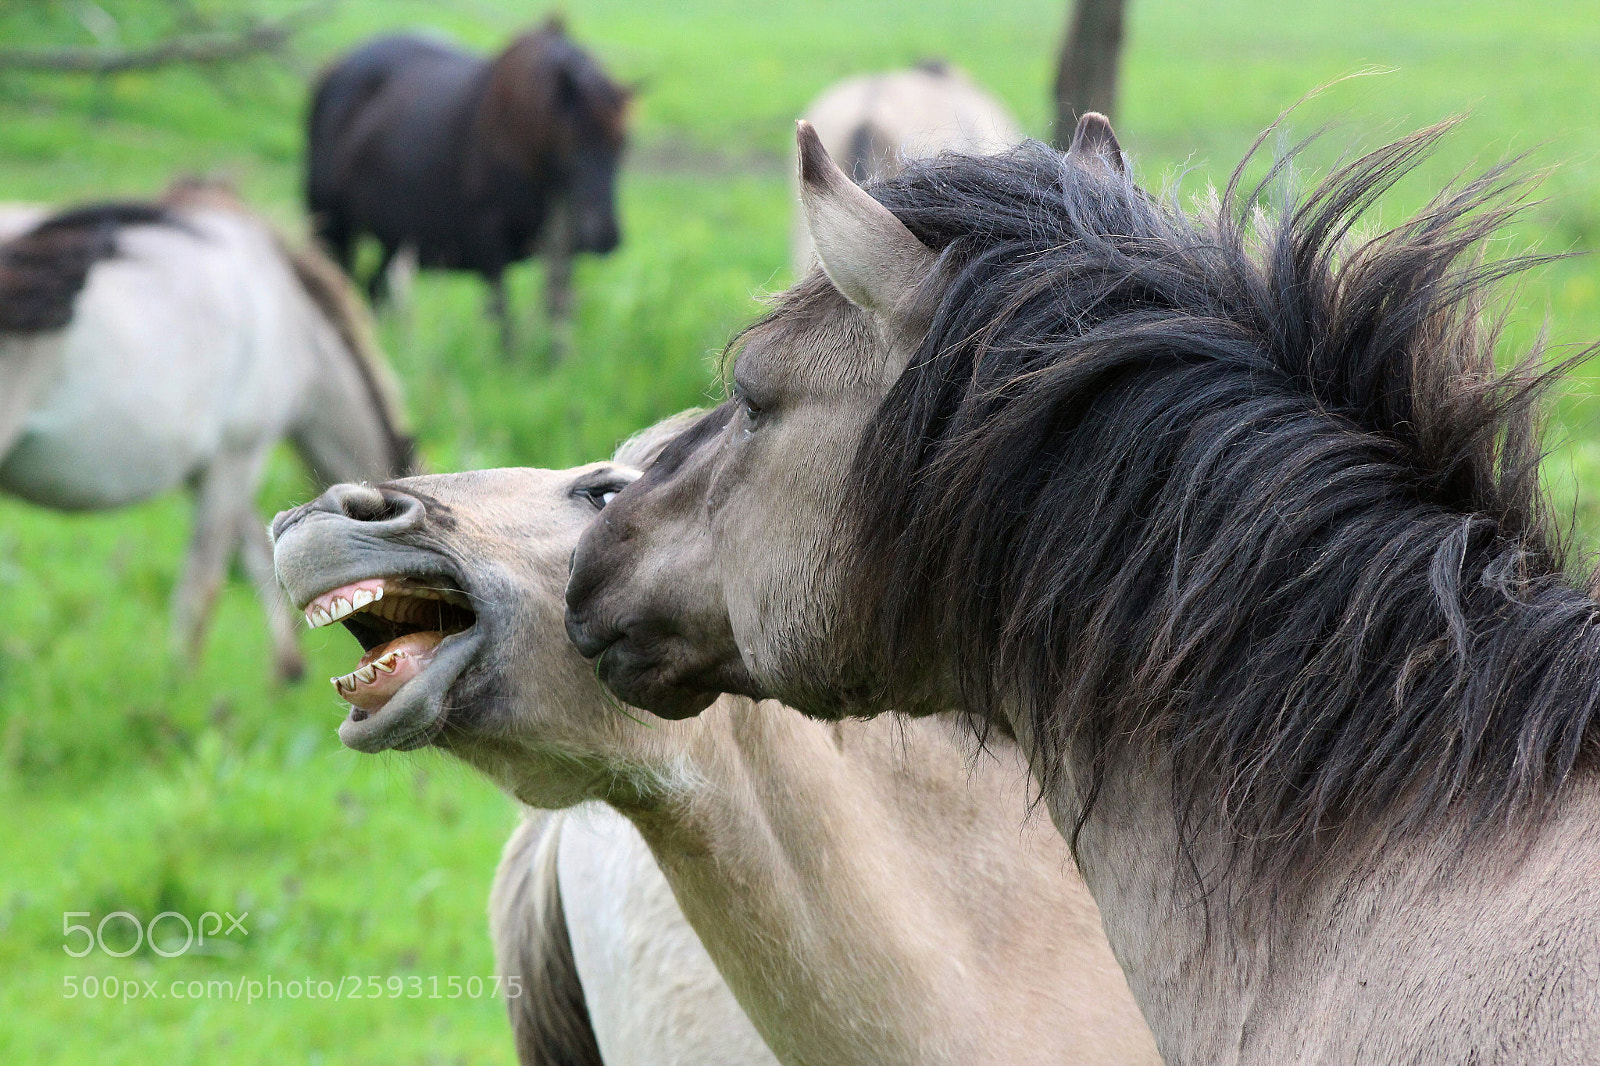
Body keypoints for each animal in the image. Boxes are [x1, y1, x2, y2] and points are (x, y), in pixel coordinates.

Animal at [0, 182, 414, 682]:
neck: (291, 316)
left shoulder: (211, 471)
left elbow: (260, 548)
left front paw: (286, 669)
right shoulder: (236, 459)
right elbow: (205, 586)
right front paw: (181, 684)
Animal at [306, 17, 629, 357]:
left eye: (623, 145)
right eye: (573, 145)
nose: (606, 236)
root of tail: (332, 71)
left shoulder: (560, 247)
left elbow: (558, 310)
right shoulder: (488, 236)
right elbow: (503, 311)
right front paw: (511, 362)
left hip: (395, 243)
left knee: (375, 290)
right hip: (332, 228)